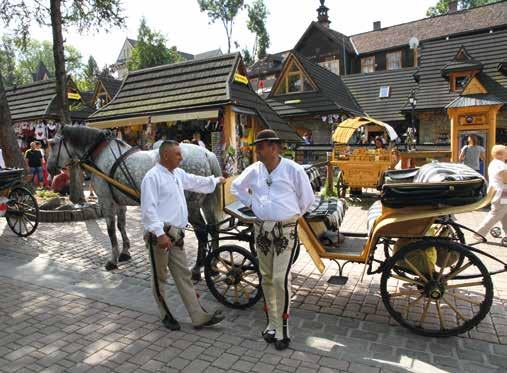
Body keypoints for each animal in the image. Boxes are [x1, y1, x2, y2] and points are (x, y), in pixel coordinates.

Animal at [47, 124, 222, 274]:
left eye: (53, 144)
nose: (49, 168)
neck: (100, 154)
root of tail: (206, 153)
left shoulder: (105, 200)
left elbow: (111, 230)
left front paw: (113, 260)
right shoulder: (119, 201)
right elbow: (121, 225)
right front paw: (125, 252)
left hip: (191, 207)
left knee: (202, 233)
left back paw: (197, 268)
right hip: (205, 203)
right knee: (214, 228)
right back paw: (213, 263)